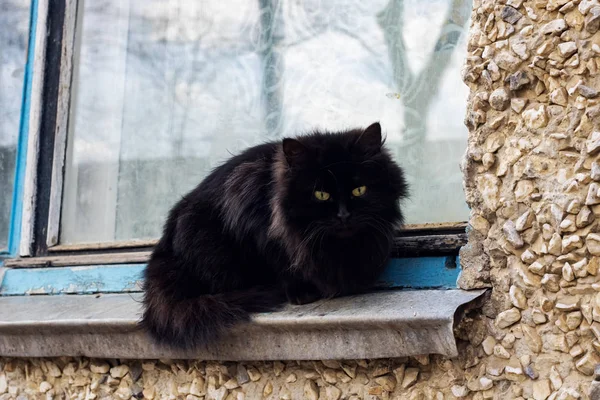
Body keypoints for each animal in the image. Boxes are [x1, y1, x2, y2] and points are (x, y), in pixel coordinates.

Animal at [142, 122, 408, 350]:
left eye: (359, 190)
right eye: (321, 195)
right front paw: (302, 291)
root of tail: (166, 246)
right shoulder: (250, 205)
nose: (343, 215)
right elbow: (281, 261)